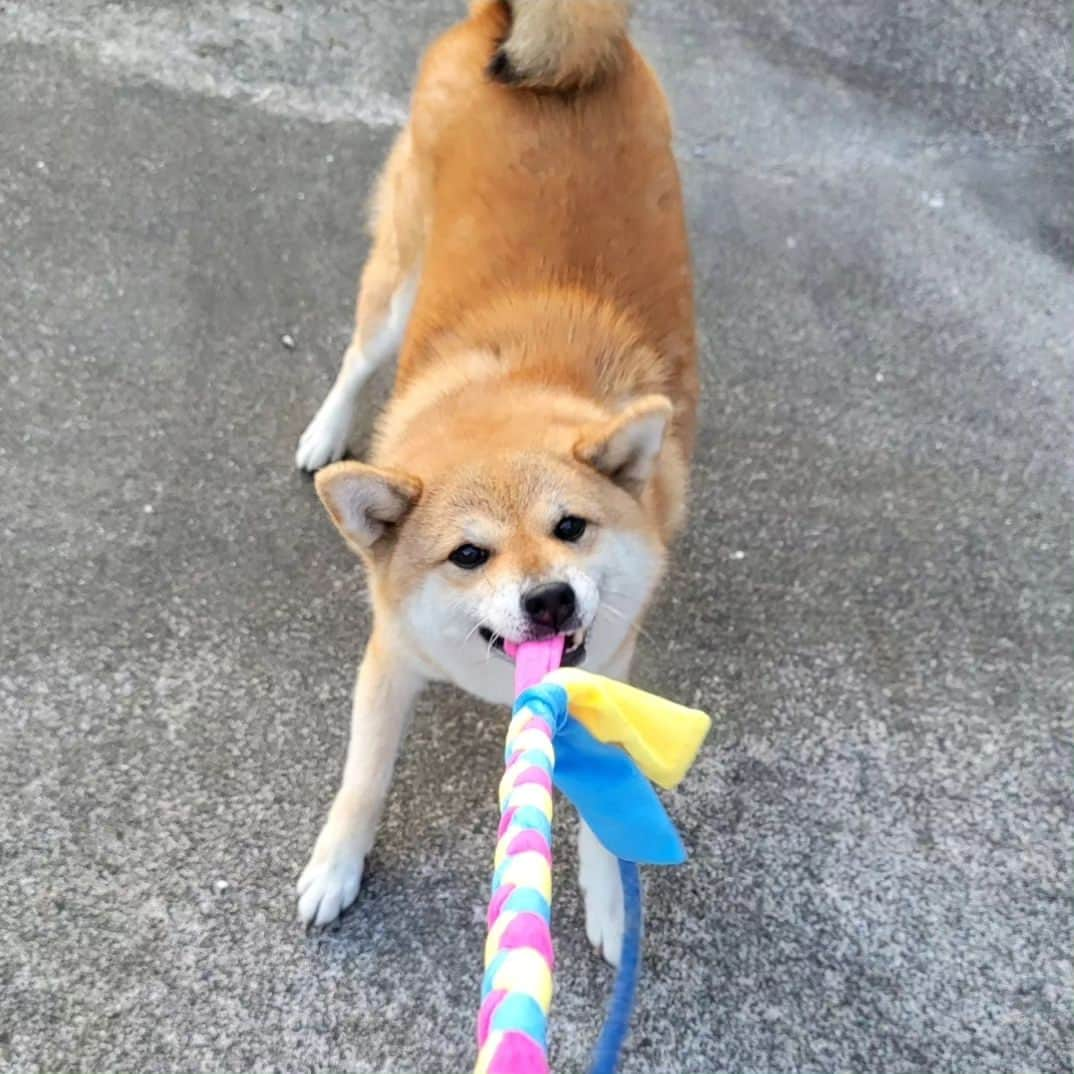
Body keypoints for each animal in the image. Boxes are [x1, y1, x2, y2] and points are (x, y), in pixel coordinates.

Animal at [294, 0, 695, 966]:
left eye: (572, 528)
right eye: (467, 555)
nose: (549, 600)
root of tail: (496, 25)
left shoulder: (607, 674)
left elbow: (601, 815)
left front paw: (609, 902)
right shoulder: (390, 659)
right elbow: (364, 777)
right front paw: (336, 867)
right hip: (396, 278)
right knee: (358, 358)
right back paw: (325, 433)